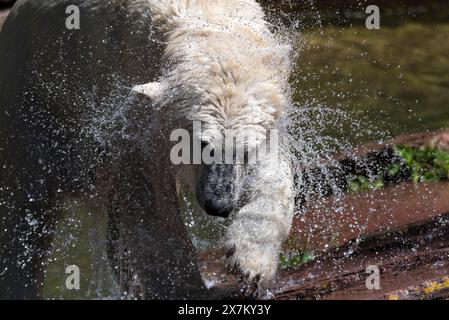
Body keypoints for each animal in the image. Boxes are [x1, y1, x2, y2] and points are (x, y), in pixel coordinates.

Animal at [0, 0, 294, 300]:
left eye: (245, 149)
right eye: (202, 144)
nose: (218, 204)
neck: (208, 19)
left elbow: (272, 172)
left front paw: (250, 263)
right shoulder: (132, 101)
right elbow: (149, 195)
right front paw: (185, 289)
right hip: (33, 101)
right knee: (28, 209)